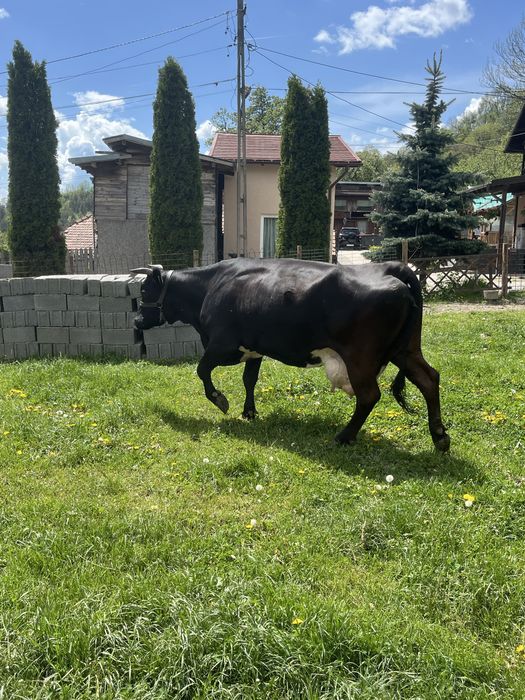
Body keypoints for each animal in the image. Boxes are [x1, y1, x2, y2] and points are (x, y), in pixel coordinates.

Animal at [132, 258, 450, 451]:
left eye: (145, 290)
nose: (136, 321)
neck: (211, 286)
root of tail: (389, 267)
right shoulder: (254, 349)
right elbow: (249, 380)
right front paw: (249, 412)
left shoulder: (223, 345)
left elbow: (202, 370)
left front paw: (220, 400)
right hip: (405, 349)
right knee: (429, 379)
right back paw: (440, 437)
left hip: (360, 357)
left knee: (369, 395)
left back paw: (344, 436)